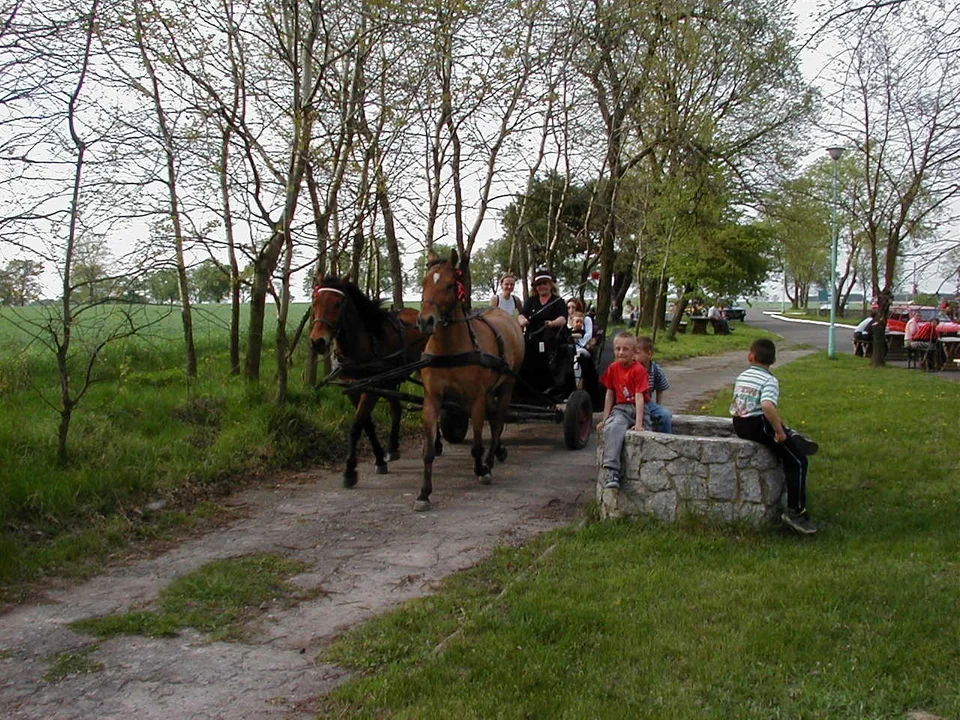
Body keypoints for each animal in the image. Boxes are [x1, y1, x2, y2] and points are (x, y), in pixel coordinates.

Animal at [310, 276, 430, 490]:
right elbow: (367, 425)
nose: (318, 342)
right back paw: (392, 448)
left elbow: (357, 425)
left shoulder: (371, 389)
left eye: (338, 303)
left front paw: (349, 471)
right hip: (389, 380)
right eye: (315, 302)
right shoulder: (354, 389)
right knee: (396, 409)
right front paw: (380, 459)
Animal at [414, 250, 524, 510]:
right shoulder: (432, 400)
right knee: (494, 419)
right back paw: (498, 453)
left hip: (507, 385)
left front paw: (481, 469)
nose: (426, 321)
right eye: (424, 282)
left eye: (450, 285)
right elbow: (428, 451)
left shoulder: (476, 400)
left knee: (497, 423)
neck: (450, 349)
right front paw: (424, 493)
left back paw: (490, 460)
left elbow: (476, 445)